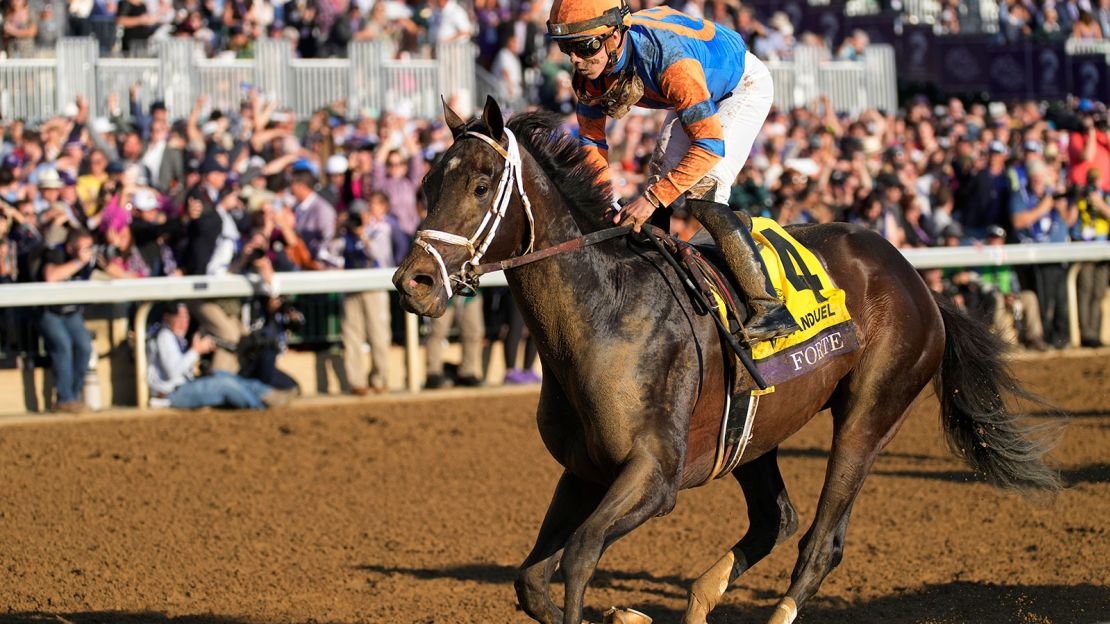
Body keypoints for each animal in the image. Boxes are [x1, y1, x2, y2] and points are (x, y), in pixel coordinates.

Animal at [395, 96, 1061, 621]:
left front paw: (620, 611)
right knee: (775, 519)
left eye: (482, 184)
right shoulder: (585, 471)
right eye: (426, 185)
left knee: (820, 542)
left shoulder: (654, 475)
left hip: (872, 412)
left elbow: (580, 557)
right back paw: (702, 596)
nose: (414, 282)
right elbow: (532, 581)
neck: (605, 312)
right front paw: (625, 612)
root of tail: (916, 278)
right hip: (753, 431)